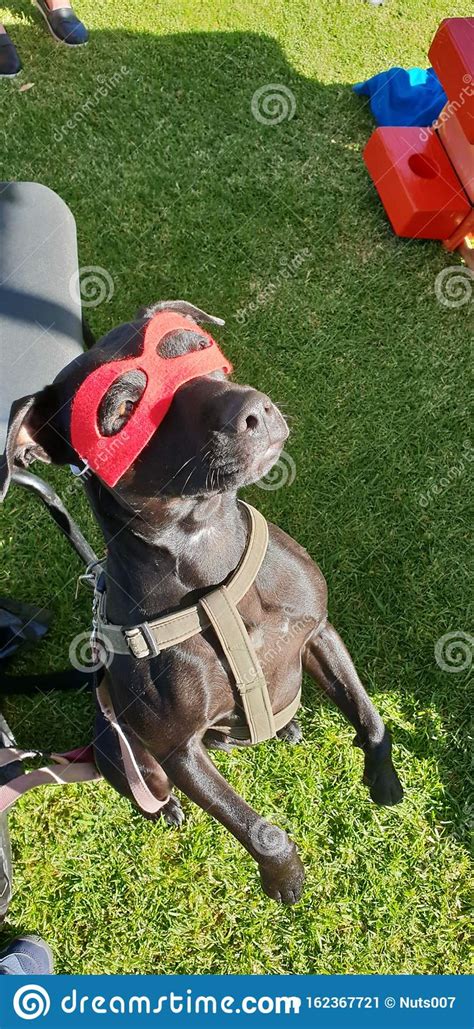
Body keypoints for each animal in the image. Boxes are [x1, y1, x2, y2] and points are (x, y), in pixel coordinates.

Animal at [0, 300, 403, 905]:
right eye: (121, 410)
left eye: (197, 347)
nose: (251, 408)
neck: (208, 555)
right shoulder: (179, 751)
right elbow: (253, 826)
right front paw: (284, 877)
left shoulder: (320, 632)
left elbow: (370, 718)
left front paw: (383, 781)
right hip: (134, 758)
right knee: (151, 787)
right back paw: (165, 810)